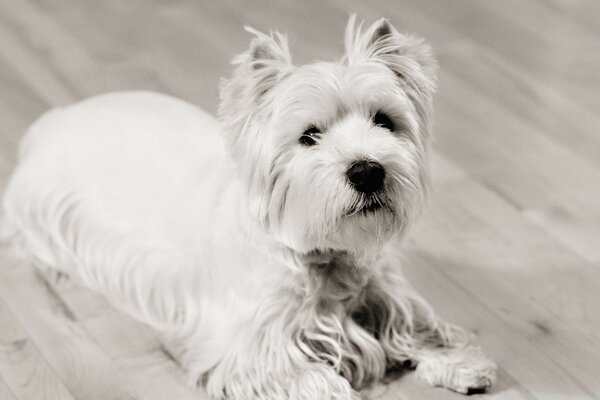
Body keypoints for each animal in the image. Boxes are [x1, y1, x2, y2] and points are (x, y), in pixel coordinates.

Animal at [1, 16, 496, 400]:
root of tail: (51, 123)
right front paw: (333, 388)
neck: (322, 254)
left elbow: (417, 323)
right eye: (309, 135)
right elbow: (294, 371)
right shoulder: (247, 340)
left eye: (384, 121)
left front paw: (462, 362)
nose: (367, 171)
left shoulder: (383, 290)